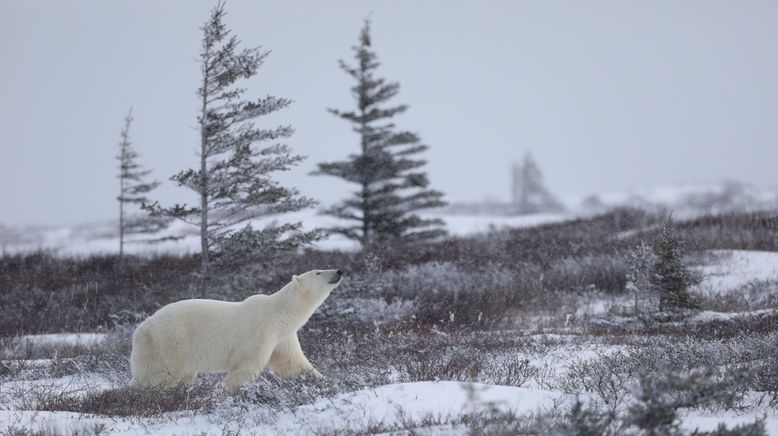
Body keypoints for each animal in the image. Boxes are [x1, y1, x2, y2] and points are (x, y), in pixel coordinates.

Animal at [127, 270, 340, 392]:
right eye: (318, 272)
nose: (338, 270)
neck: (279, 313)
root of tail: (142, 327)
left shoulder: (283, 336)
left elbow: (293, 363)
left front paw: (325, 382)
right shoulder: (260, 331)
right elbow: (245, 365)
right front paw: (235, 392)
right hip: (168, 342)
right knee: (158, 375)